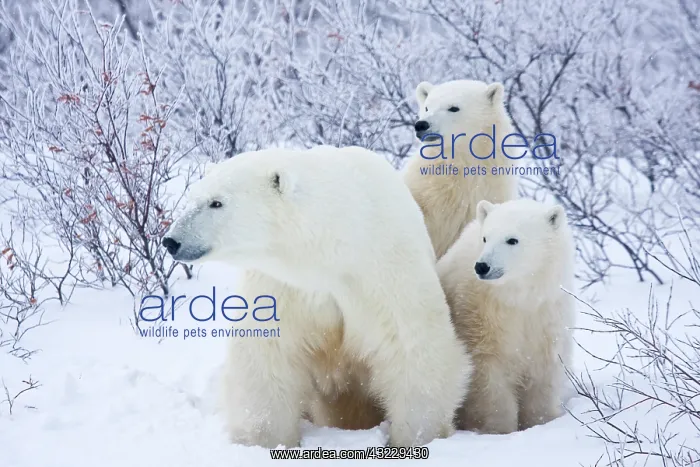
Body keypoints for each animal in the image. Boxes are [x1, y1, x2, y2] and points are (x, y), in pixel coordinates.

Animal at [162, 145, 471, 448]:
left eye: (216, 202)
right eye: (193, 197)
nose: (171, 241)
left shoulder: (383, 270)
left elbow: (412, 349)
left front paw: (416, 437)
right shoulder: (283, 287)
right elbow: (267, 355)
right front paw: (264, 441)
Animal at [437, 198, 576, 434]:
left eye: (512, 240)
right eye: (485, 237)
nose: (482, 266)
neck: (516, 297)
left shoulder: (546, 315)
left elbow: (543, 371)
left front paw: (541, 421)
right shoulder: (479, 315)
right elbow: (489, 377)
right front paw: (500, 429)